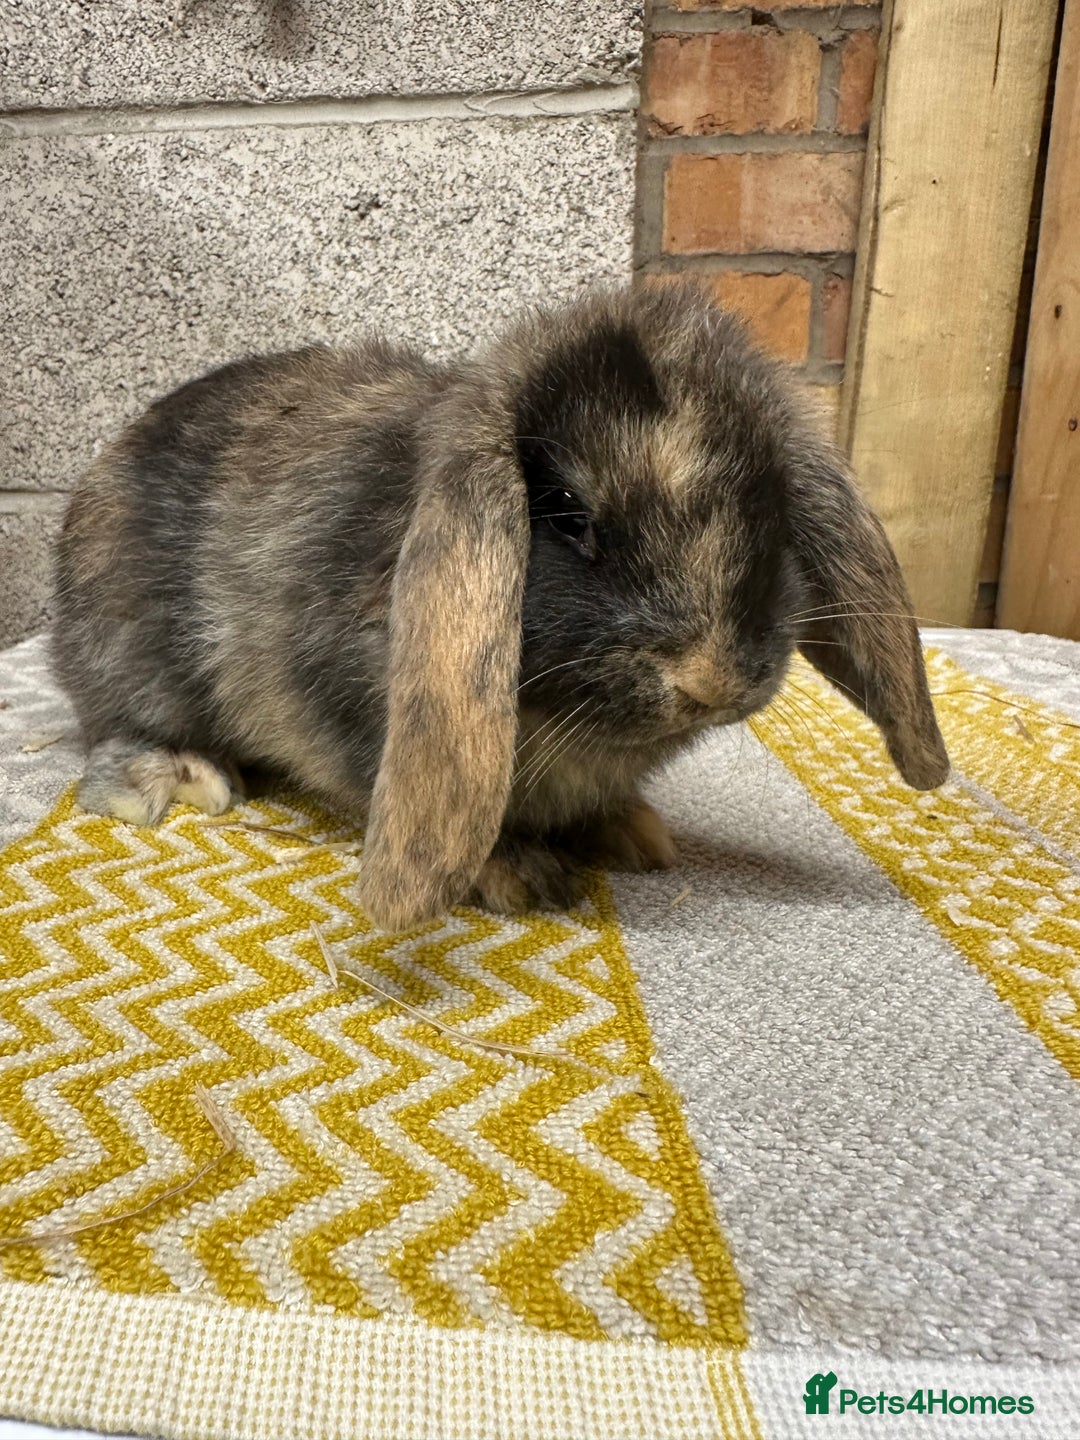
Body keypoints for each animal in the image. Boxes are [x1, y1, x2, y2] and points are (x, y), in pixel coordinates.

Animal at [52, 281, 949, 930]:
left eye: (771, 507)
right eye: (568, 512)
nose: (716, 680)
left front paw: (632, 833)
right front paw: (520, 875)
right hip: (130, 659)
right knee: (116, 724)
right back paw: (174, 777)